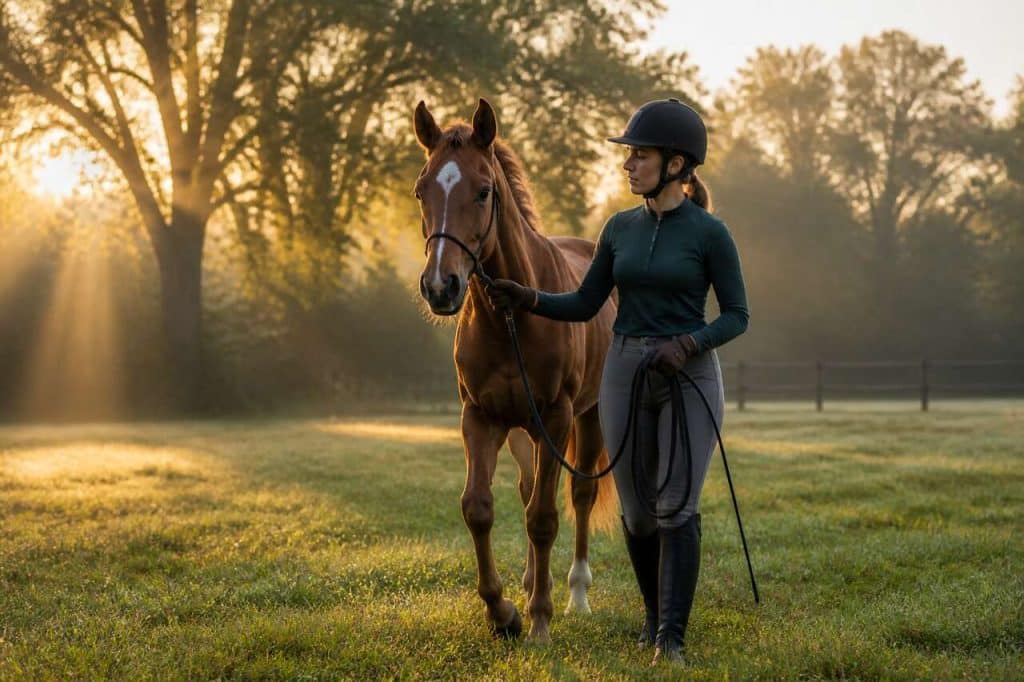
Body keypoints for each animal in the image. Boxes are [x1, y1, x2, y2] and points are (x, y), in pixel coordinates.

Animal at [413, 97, 618, 642]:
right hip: (523, 431)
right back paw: (528, 586)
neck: (508, 315)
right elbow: (479, 508)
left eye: (483, 190)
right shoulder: (479, 417)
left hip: (587, 417)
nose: (440, 286)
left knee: (580, 494)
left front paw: (540, 619)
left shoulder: (557, 416)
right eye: (422, 190)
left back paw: (575, 594)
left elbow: (544, 517)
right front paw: (503, 611)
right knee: (527, 488)